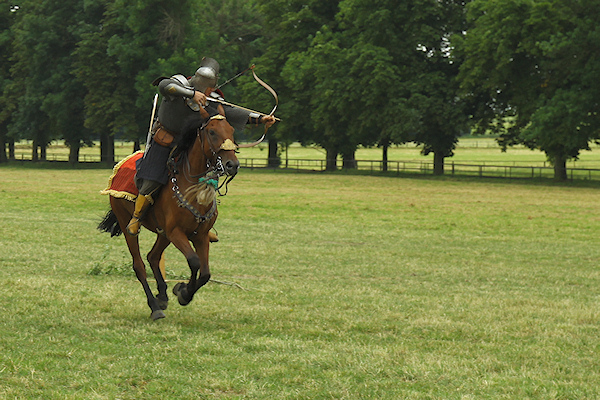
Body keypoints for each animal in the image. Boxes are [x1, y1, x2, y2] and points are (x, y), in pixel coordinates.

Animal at [97, 104, 240, 320]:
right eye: (212, 132)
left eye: (231, 130)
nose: (233, 164)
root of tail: (120, 166)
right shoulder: (176, 232)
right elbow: (194, 262)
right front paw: (183, 293)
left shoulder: (200, 235)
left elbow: (206, 273)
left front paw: (181, 291)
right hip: (127, 222)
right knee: (139, 264)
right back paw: (155, 306)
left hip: (162, 233)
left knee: (153, 257)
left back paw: (162, 296)